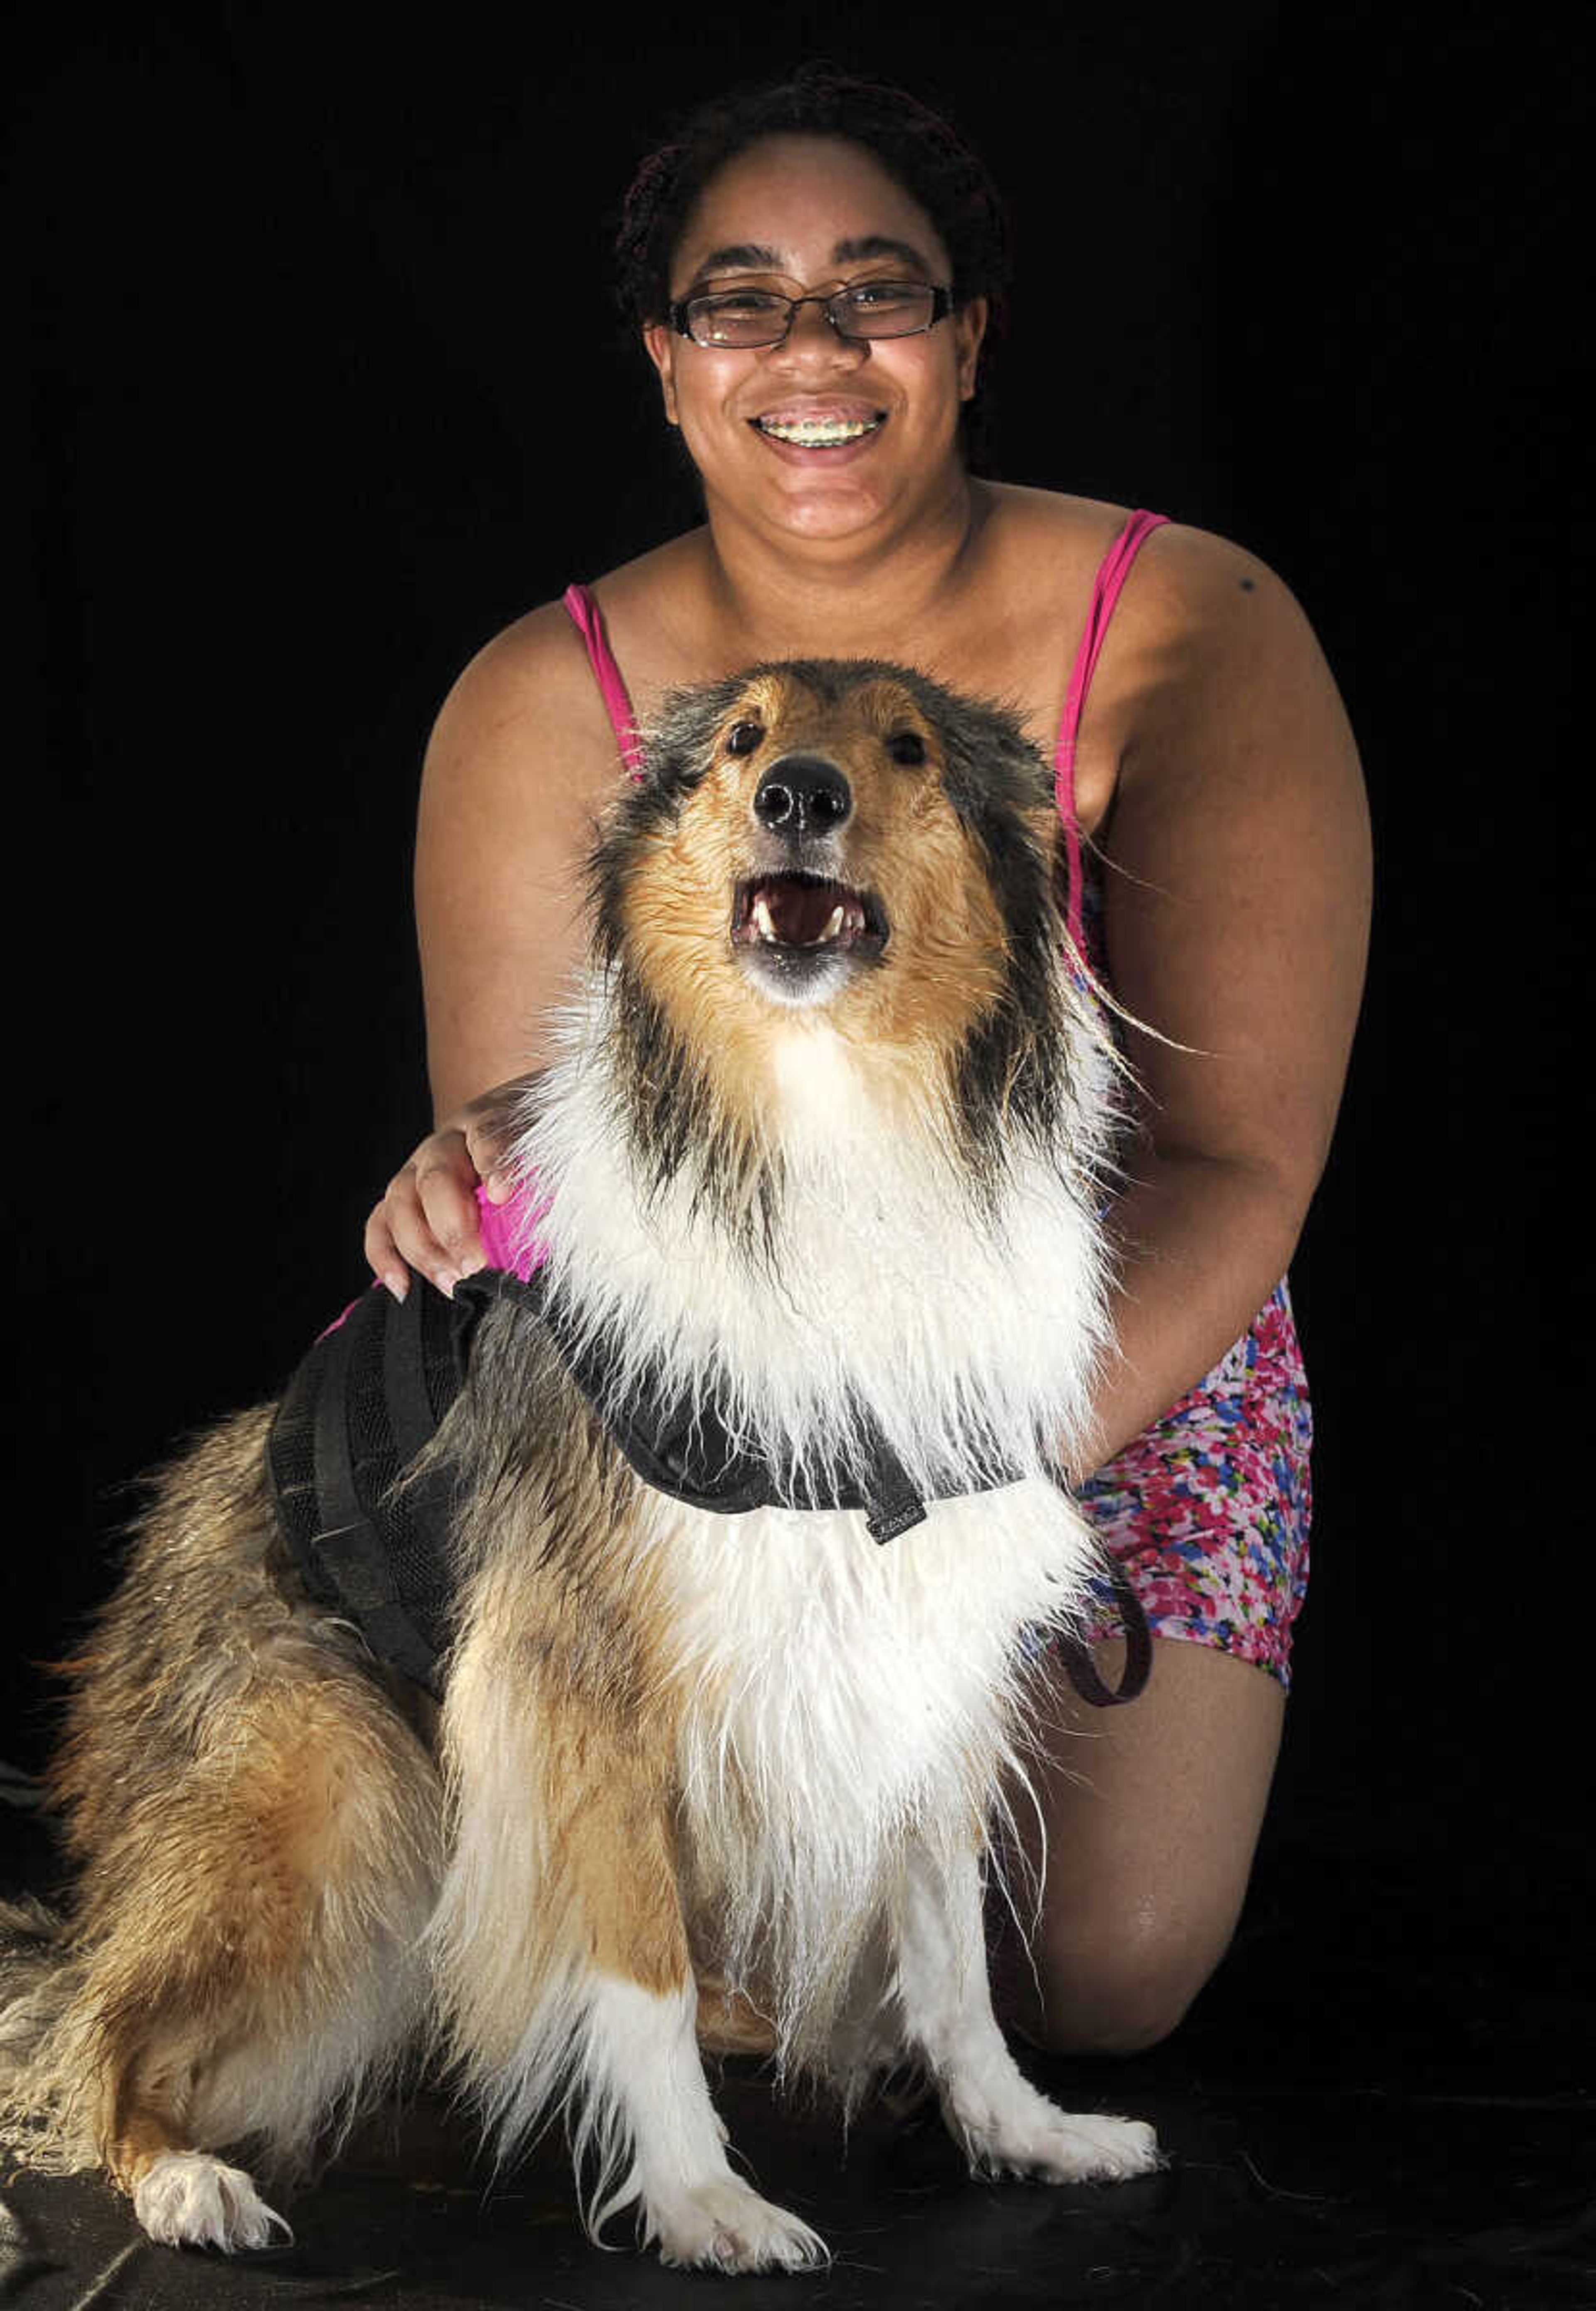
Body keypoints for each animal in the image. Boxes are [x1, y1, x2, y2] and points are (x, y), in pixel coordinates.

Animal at [0, 661, 1159, 2264]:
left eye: (909, 748)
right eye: (738, 740)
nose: (799, 792)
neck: (827, 1130)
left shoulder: (919, 1640)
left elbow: (951, 1953)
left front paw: (1021, 2128)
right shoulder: (573, 1681)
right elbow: (635, 1965)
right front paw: (701, 2198)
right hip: (325, 1789)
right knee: (100, 2020)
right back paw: (181, 2175)